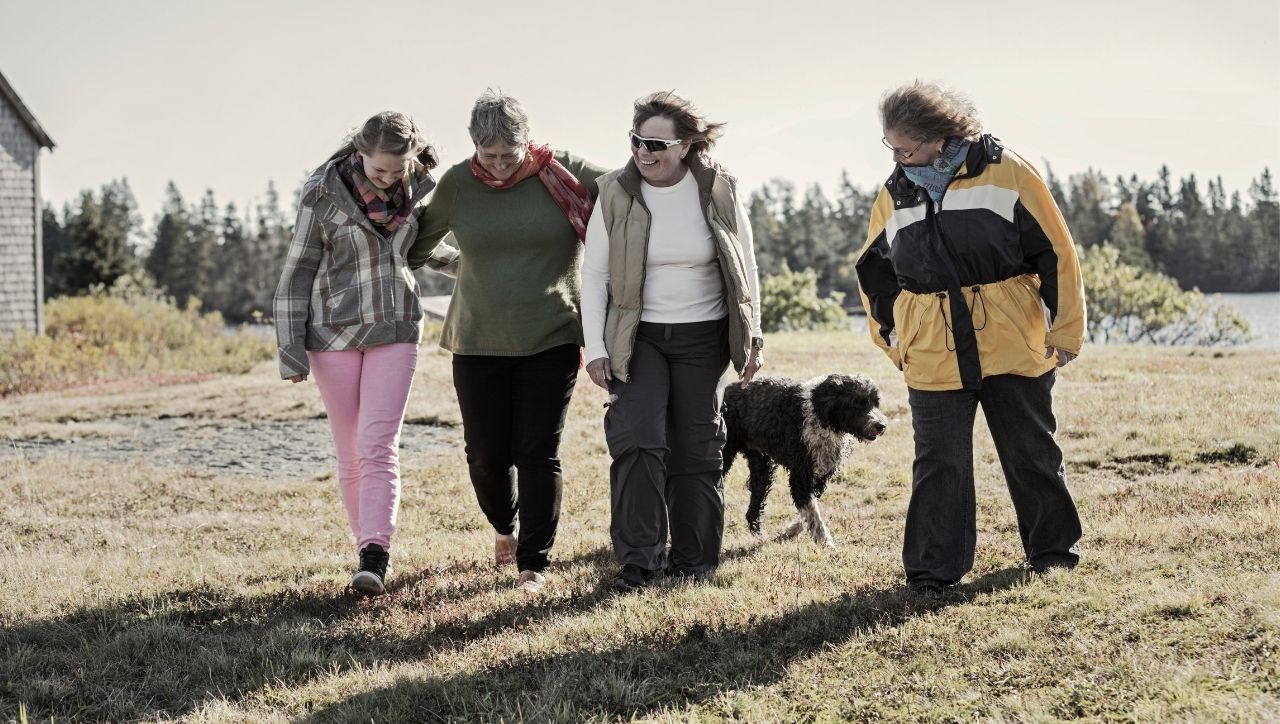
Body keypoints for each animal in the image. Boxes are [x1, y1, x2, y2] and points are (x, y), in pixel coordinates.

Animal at [721, 378, 890, 547]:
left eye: (876, 403)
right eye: (857, 403)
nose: (881, 426)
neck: (822, 418)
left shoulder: (820, 476)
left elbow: (809, 510)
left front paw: (791, 531)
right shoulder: (800, 476)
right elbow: (812, 512)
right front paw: (827, 544)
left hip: (762, 467)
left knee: (755, 501)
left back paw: (757, 533)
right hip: (725, 456)